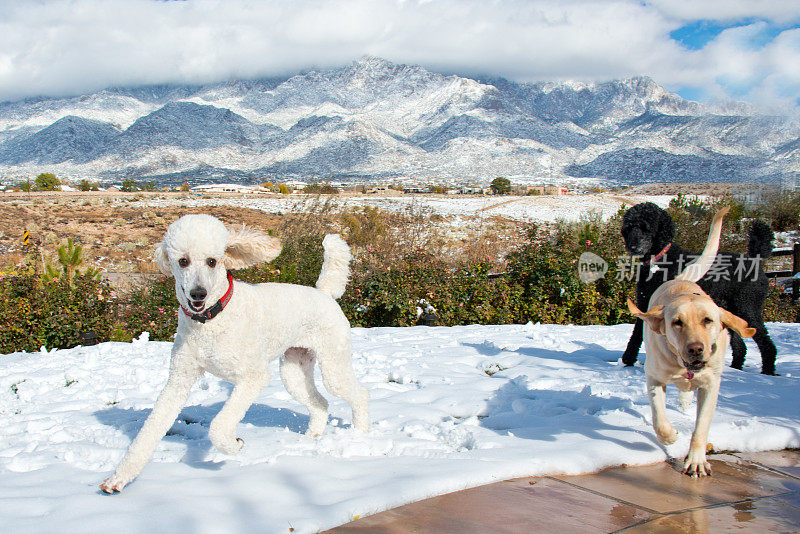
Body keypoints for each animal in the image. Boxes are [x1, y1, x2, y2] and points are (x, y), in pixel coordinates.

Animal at [620, 203, 776, 374]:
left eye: (646, 227)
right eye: (628, 227)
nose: (632, 246)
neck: (660, 261)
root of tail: (755, 259)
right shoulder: (645, 302)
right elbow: (637, 334)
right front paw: (628, 360)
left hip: (747, 306)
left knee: (766, 342)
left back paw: (768, 370)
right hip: (729, 310)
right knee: (740, 346)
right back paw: (736, 368)